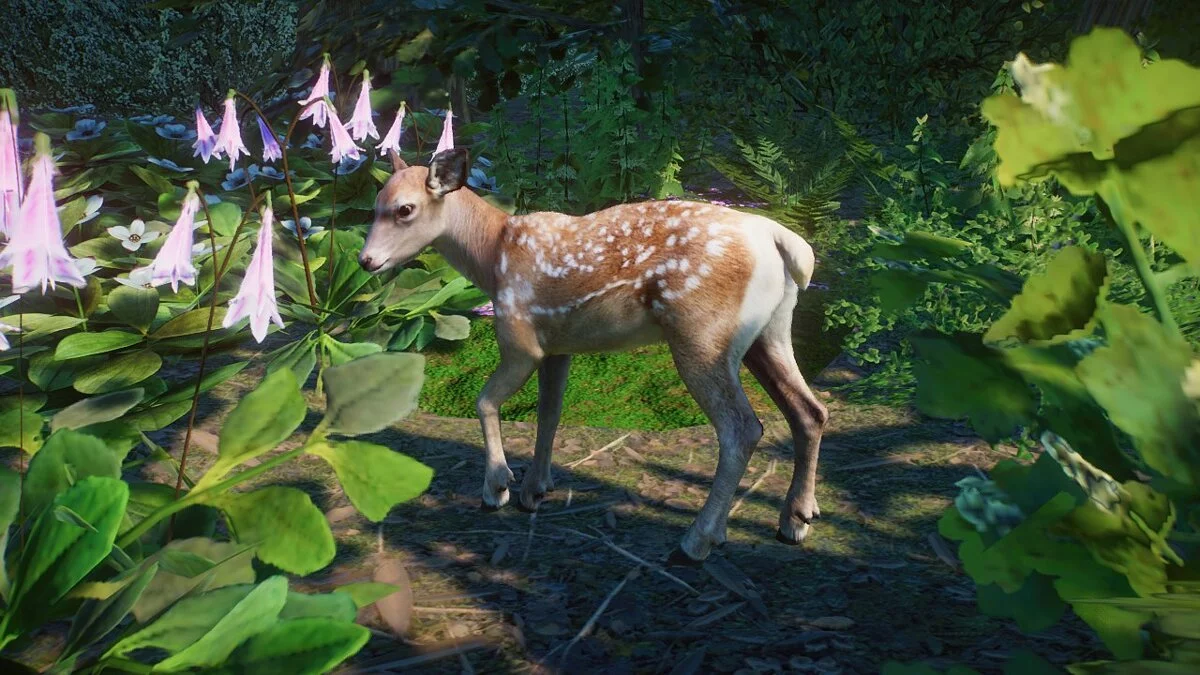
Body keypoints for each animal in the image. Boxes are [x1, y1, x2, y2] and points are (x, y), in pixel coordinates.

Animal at [359, 148, 828, 563]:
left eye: (404, 209)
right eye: (374, 206)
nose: (366, 260)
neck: (493, 256)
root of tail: (784, 242)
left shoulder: (521, 340)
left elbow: (485, 401)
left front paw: (498, 487)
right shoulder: (557, 347)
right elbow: (549, 412)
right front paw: (534, 489)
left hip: (702, 333)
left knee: (742, 429)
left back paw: (697, 542)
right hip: (769, 330)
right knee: (810, 410)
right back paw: (796, 520)